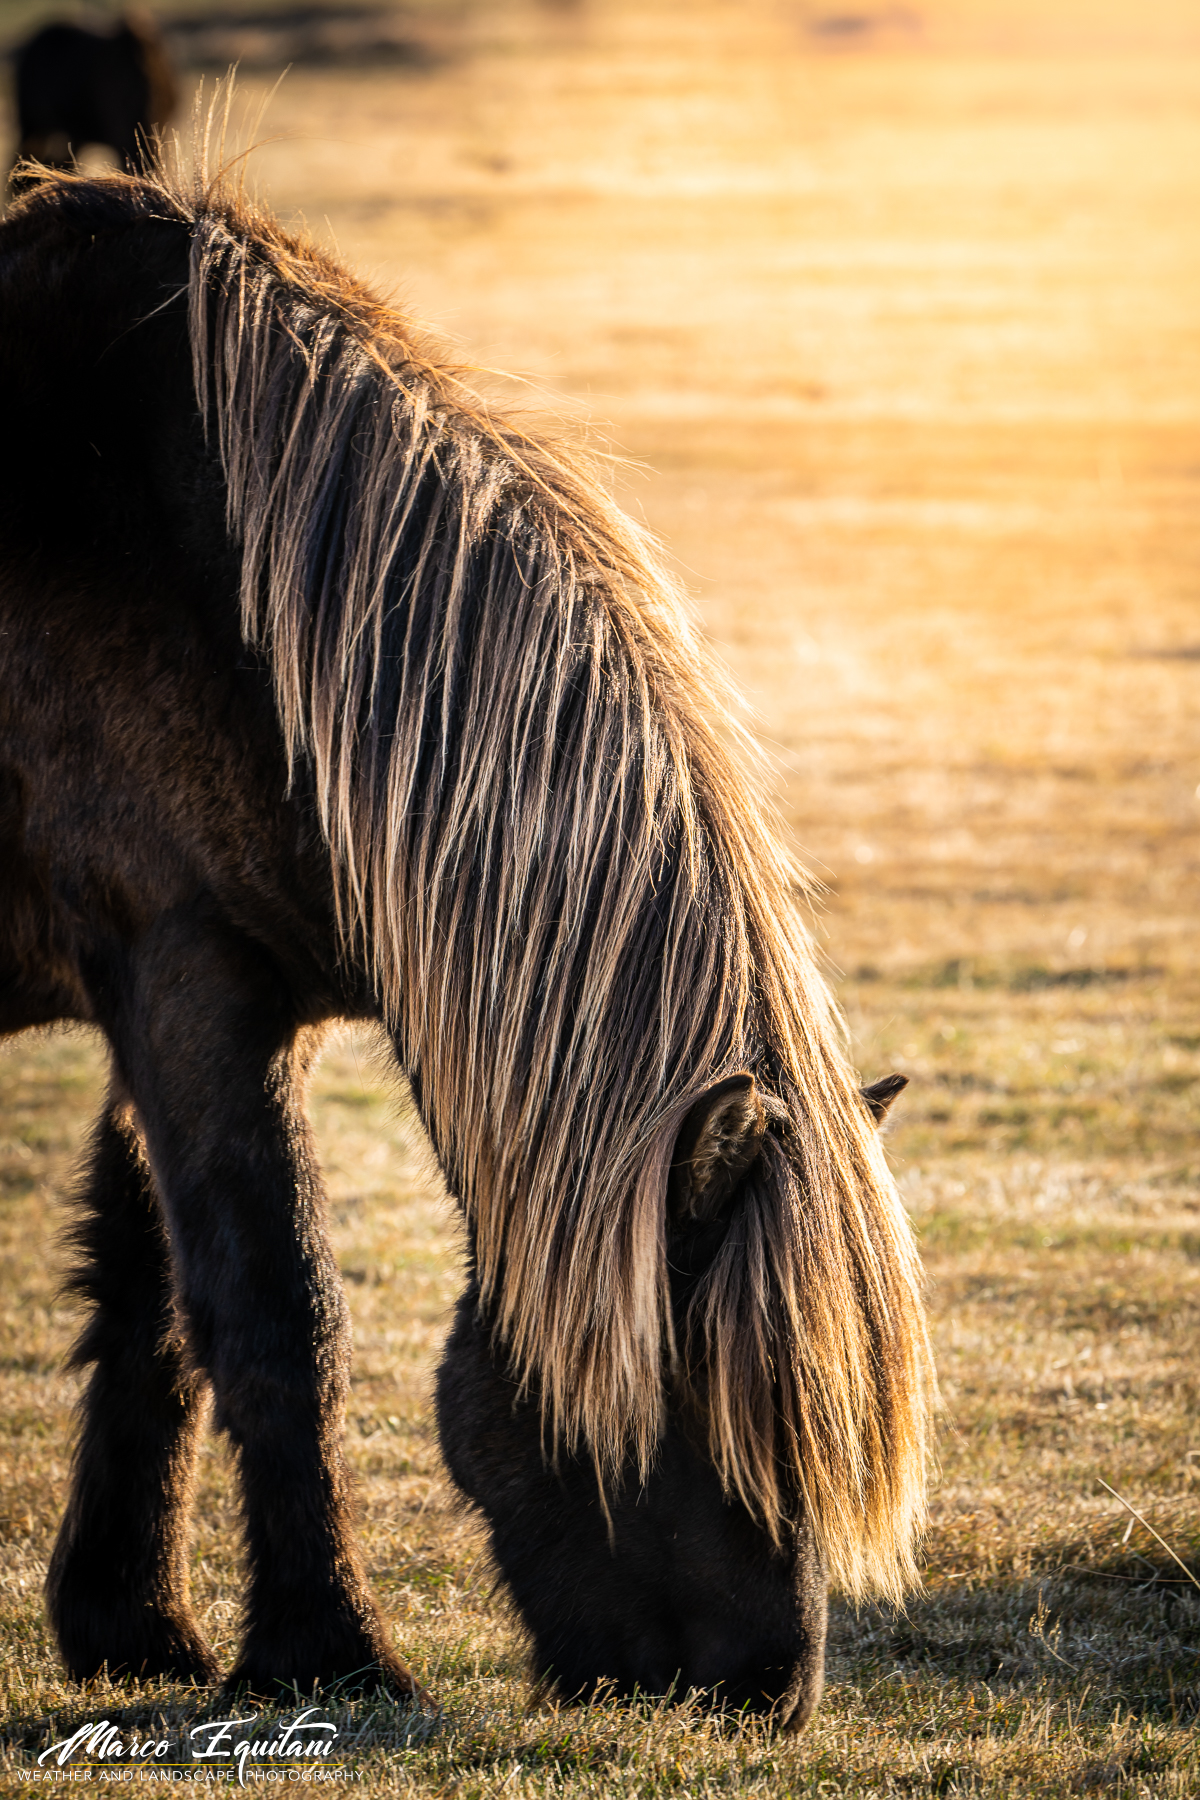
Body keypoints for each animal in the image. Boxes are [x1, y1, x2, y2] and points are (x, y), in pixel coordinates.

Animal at [0, 163, 932, 1727]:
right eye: (711, 1403)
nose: (771, 1694)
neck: (235, 587)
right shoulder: (189, 983)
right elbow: (271, 1313)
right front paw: (324, 1648)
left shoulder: (190, 1006)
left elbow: (147, 1302)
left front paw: (132, 1623)